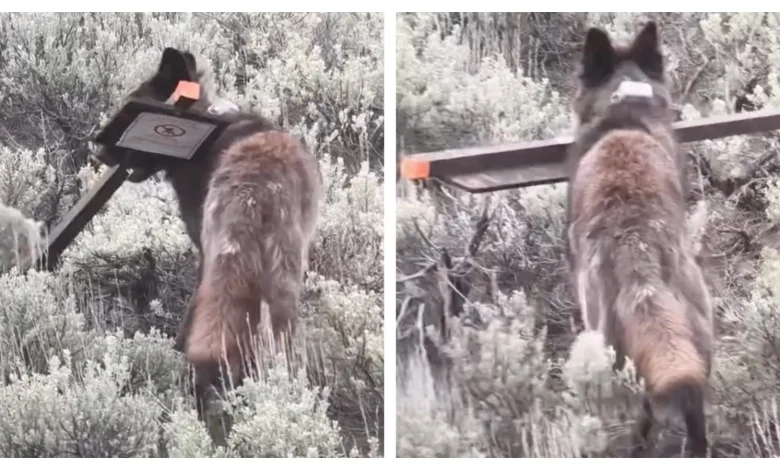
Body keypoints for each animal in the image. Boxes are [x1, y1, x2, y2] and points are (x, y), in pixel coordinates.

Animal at [564, 23, 715, 457]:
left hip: (607, 340)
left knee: (644, 409)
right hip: (697, 336)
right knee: (694, 406)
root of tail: (635, 244)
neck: (625, 106)